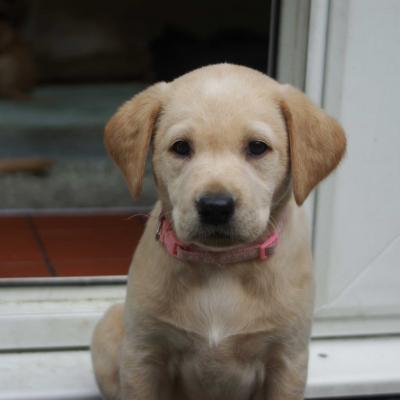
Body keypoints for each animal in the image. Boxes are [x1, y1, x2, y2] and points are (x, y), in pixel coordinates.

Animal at [92, 64, 346, 398]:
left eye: (257, 147)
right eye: (181, 147)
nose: (215, 206)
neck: (220, 265)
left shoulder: (287, 360)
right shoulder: (143, 356)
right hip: (108, 331)